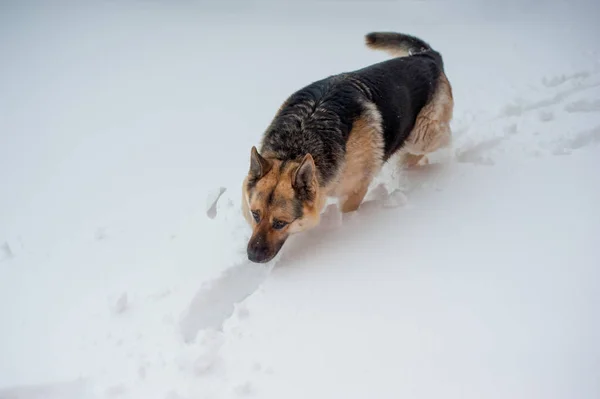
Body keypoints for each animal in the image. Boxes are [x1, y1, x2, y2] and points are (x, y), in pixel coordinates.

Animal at [241, 30, 452, 262]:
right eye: (255, 214)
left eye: (280, 223)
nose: (252, 256)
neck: (297, 144)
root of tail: (427, 56)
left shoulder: (355, 190)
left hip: (422, 135)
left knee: (438, 139)